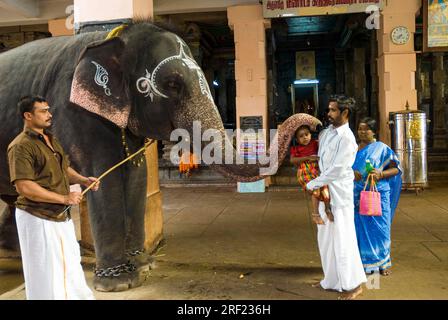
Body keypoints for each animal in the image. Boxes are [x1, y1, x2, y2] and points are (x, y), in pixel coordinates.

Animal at [0, 20, 322, 292]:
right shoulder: (74, 111)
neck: (114, 38)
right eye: (172, 85)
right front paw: (119, 284)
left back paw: (16, 253)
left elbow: (136, 176)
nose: (315, 123)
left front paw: (144, 265)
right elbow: (105, 177)